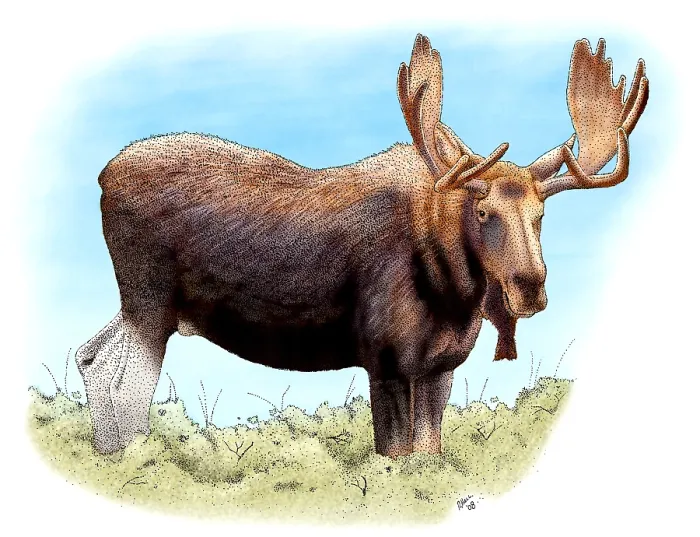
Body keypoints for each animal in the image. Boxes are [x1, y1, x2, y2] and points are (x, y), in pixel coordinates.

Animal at [76, 34, 648, 458]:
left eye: (540, 216)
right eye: (484, 212)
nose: (530, 287)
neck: (454, 293)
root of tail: (101, 177)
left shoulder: (439, 366)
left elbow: (429, 451)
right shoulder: (384, 358)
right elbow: (393, 453)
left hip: (141, 306)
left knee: (90, 357)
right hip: (150, 303)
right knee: (120, 376)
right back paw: (130, 458)